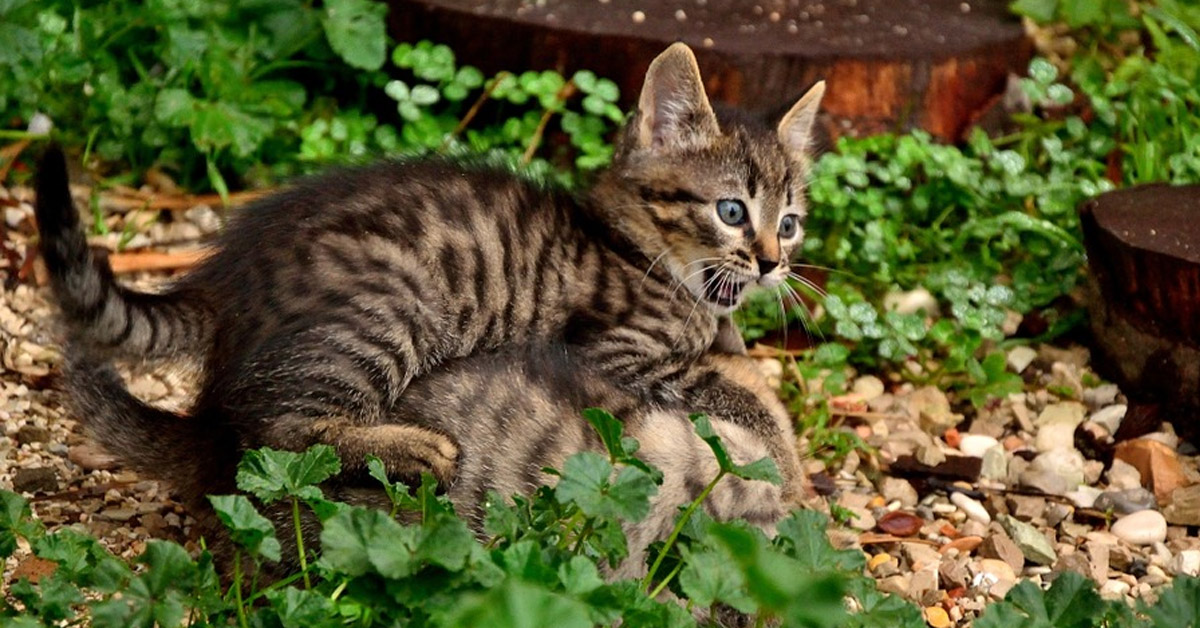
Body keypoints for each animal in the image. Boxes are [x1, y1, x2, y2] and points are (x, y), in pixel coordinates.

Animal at [37, 44, 825, 499]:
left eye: (790, 221)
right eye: (730, 210)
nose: (771, 261)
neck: (640, 252)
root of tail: (221, 286)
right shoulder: (618, 352)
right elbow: (741, 398)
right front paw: (790, 474)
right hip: (389, 309)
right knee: (276, 431)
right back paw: (409, 447)